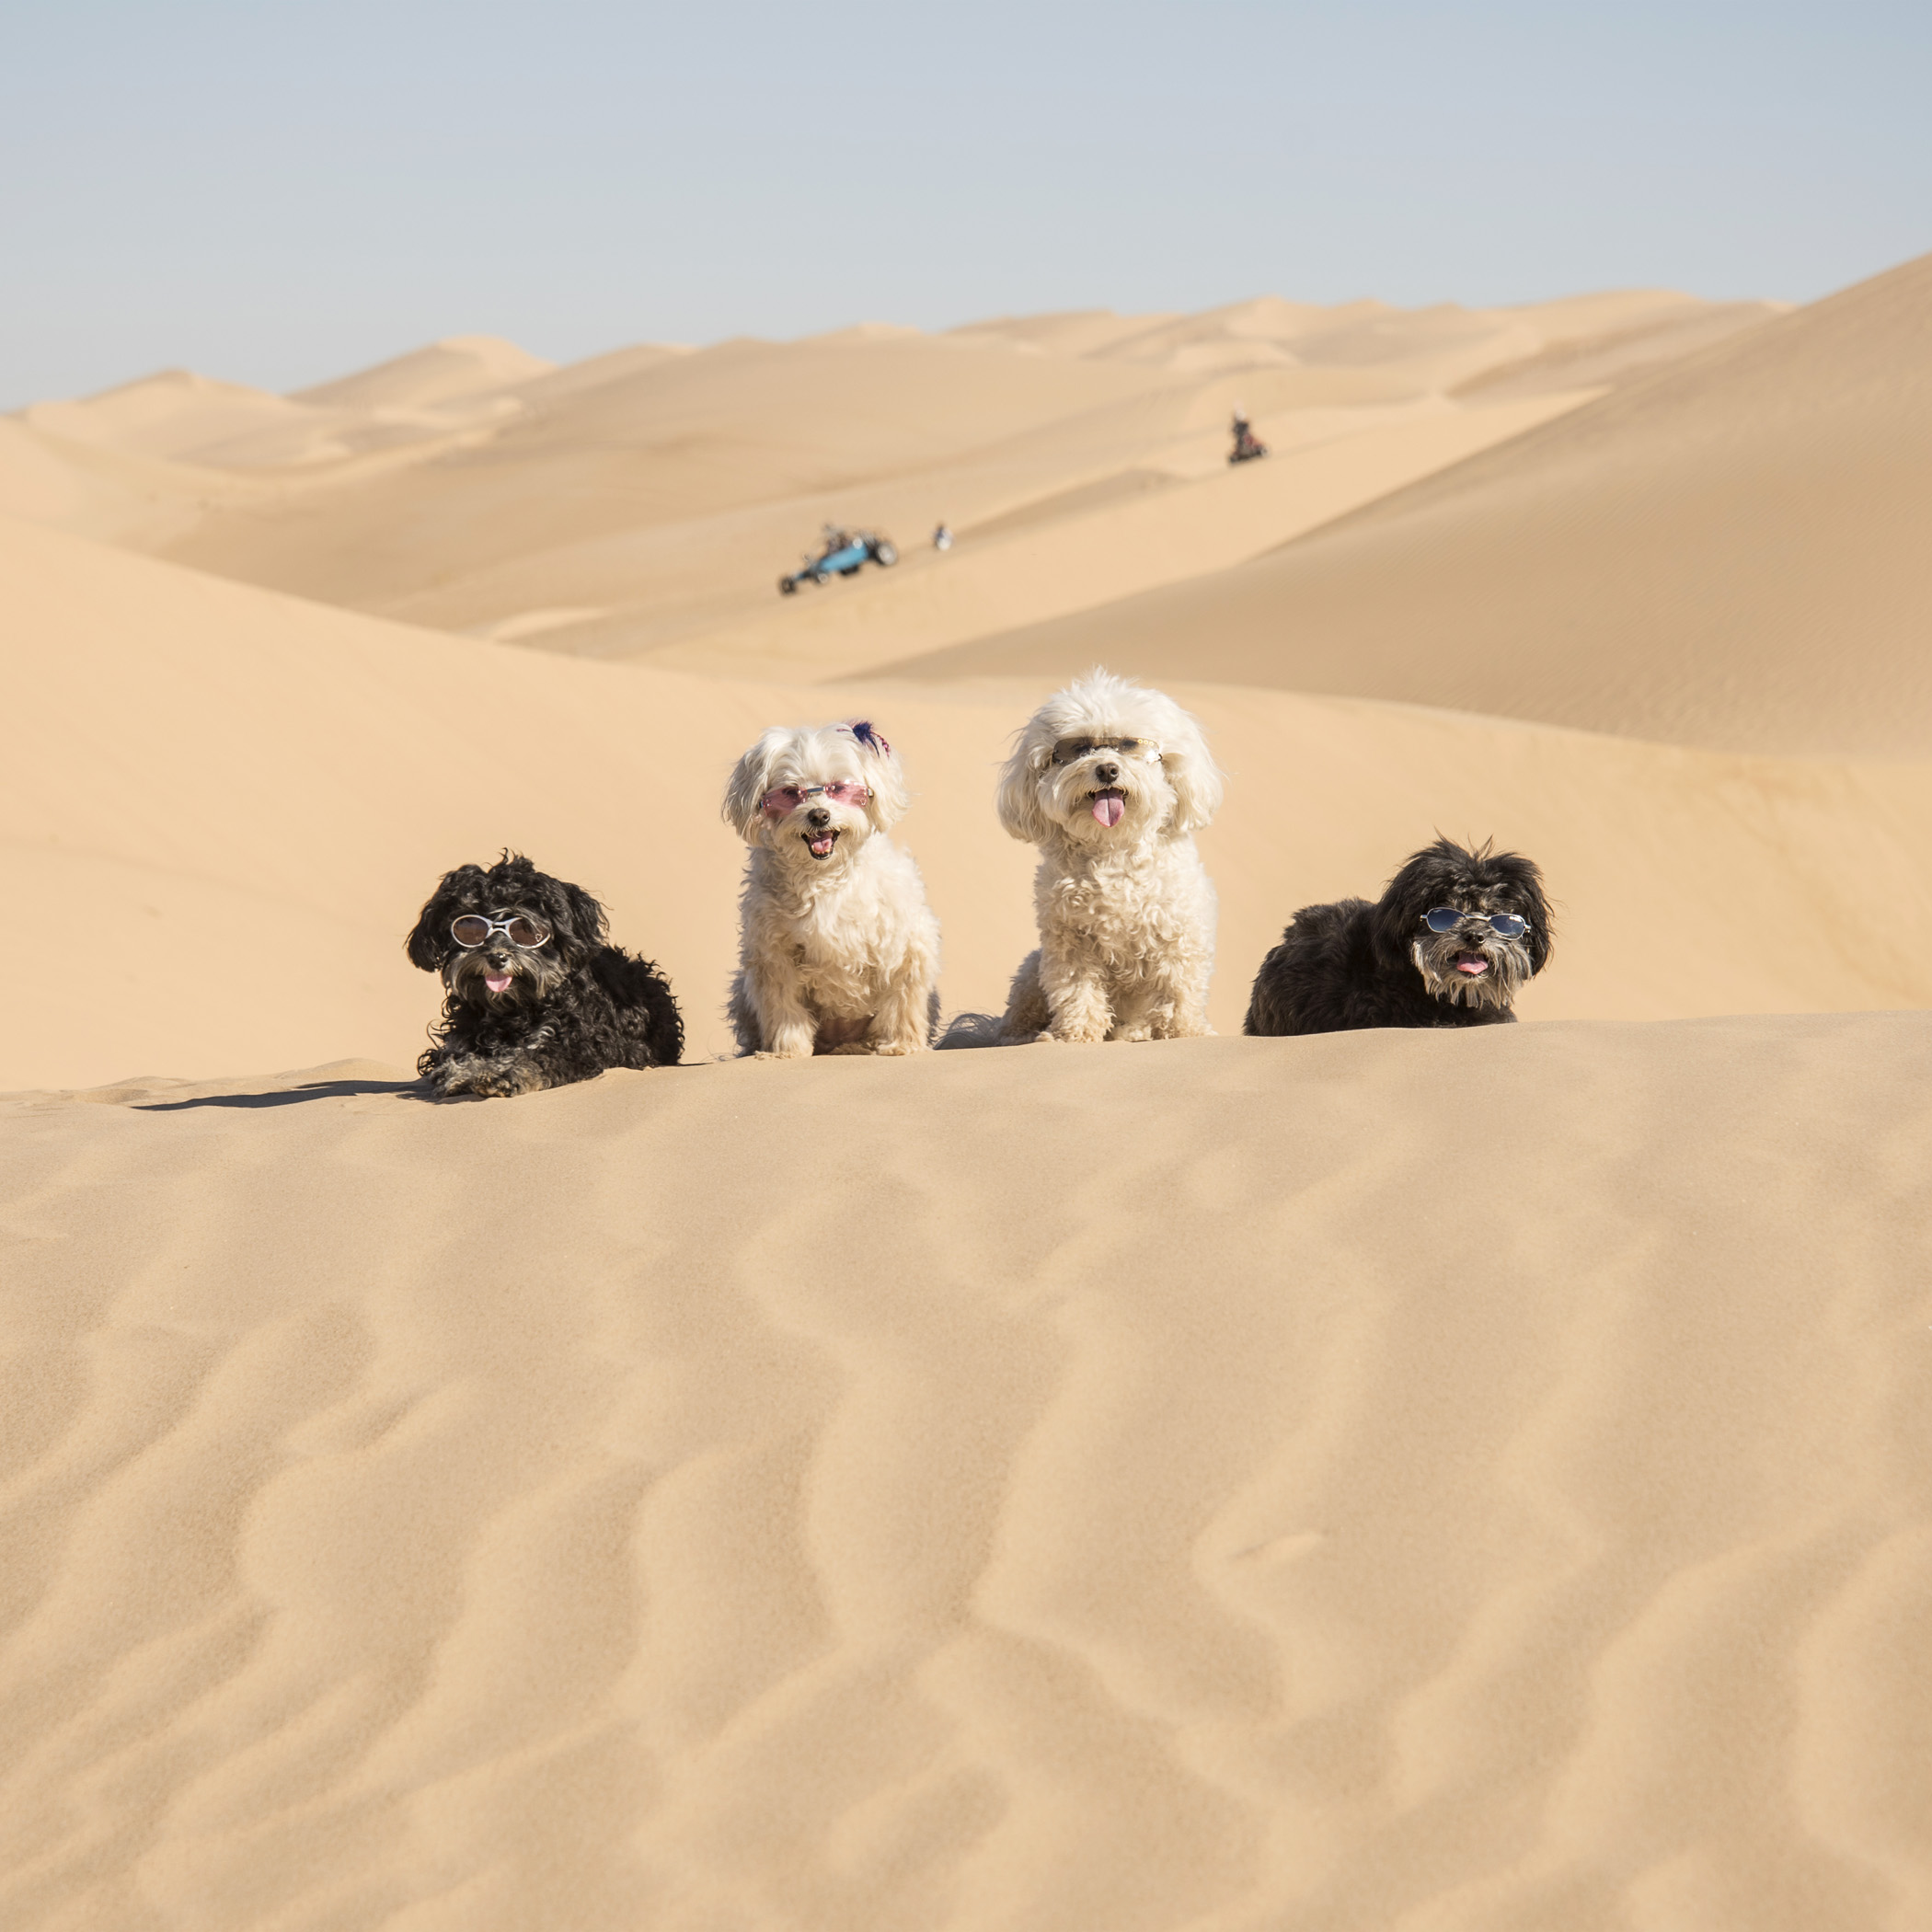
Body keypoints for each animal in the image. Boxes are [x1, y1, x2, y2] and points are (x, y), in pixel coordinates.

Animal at [403, 849, 684, 1097]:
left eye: (525, 928)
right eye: (468, 926)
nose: (496, 957)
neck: (511, 1010)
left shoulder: (583, 1045)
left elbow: (540, 1057)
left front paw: (506, 1074)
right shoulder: (460, 1037)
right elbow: (455, 1055)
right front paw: (461, 1073)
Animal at [722, 722, 938, 1058]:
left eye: (838, 788)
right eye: (791, 793)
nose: (819, 815)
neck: (824, 877)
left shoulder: (903, 945)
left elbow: (903, 1001)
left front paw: (902, 1045)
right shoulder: (774, 954)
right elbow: (783, 1008)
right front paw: (787, 1050)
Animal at [996, 675, 1221, 1051]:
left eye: (1129, 745)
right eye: (1078, 749)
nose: (1107, 768)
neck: (1113, 849)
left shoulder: (1178, 934)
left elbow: (1179, 988)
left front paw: (1185, 1033)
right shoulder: (1070, 942)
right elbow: (1076, 991)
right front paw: (1075, 1035)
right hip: (1032, 968)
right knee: (1017, 1016)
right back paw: (1024, 1036)